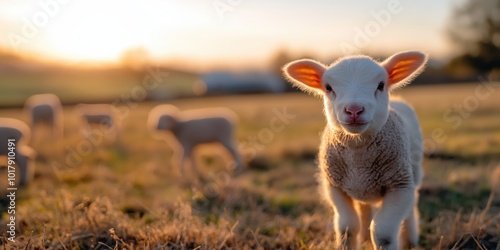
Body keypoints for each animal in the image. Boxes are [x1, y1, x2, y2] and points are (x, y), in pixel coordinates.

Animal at [284, 49, 428, 249]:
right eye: (328, 87)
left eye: (381, 85)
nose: (354, 110)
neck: (358, 160)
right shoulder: (335, 187)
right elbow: (348, 227)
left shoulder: (400, 186)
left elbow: (383, 233)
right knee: (364, 208)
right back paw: (366, 238)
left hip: (414, 174)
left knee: (411, 207)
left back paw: (410, 240)